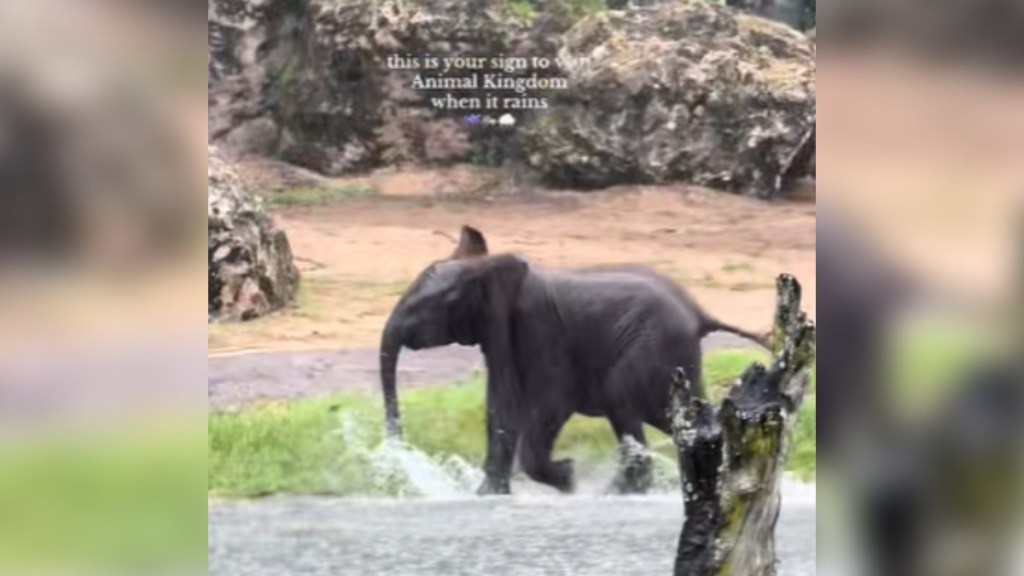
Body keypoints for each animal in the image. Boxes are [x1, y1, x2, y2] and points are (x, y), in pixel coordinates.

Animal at [382, 224, 770, 494]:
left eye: (436, 304)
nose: (399, 451)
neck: (489, 265)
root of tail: (700, 314)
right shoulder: (501, 334)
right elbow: (501, 405)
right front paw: (488, 495)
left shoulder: (540, 331)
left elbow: (547, 403)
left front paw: (568, 478)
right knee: (679, 412)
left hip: (652, 347)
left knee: (623, 400)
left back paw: (617, 493)